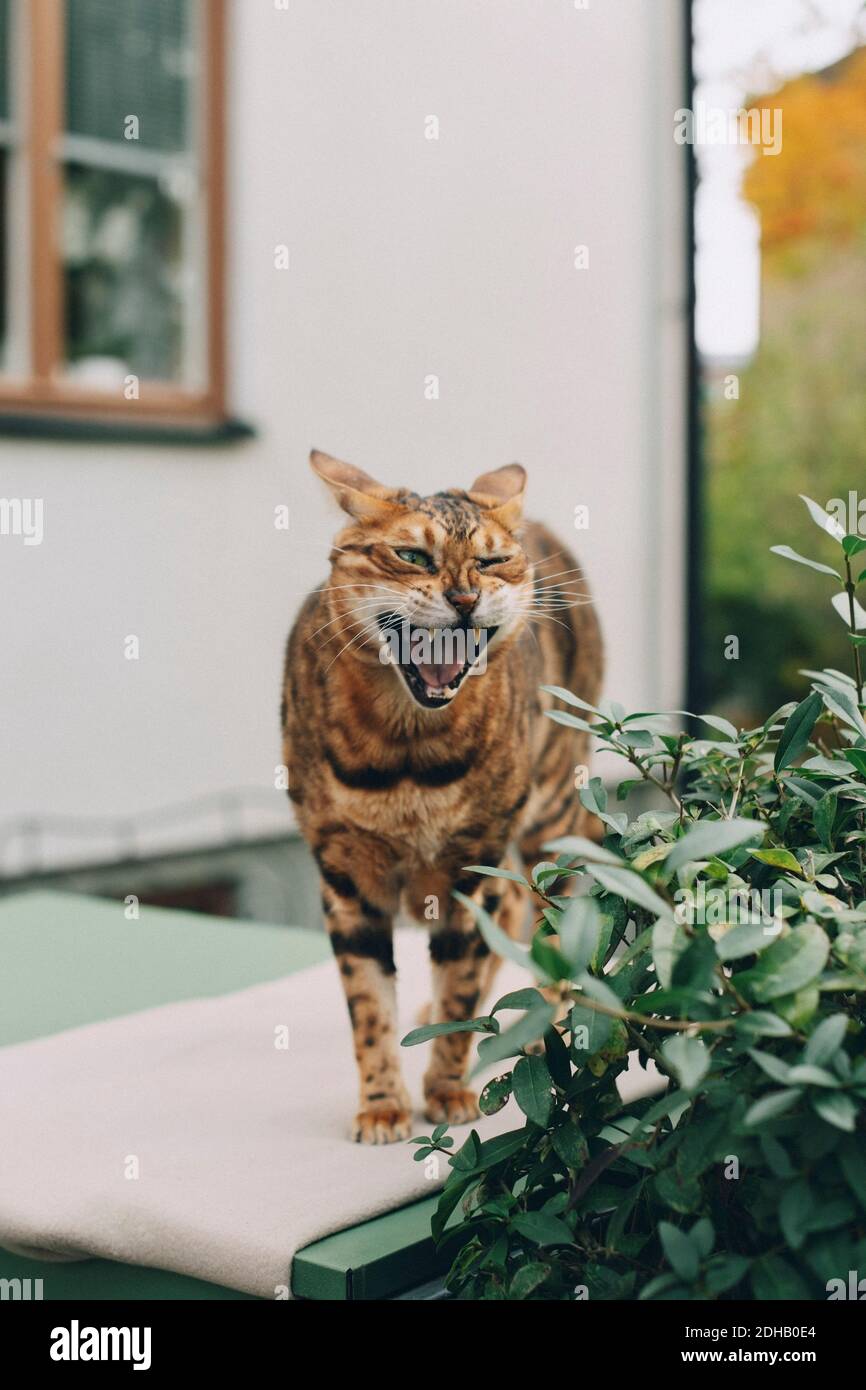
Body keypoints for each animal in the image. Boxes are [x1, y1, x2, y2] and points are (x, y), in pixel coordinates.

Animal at [284, 453, 603, 1139]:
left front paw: (449, 1088)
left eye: (491, 561)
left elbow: (461, 979)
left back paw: (543, 1025)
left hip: (551, 816)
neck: (407, 759)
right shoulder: (345, 878)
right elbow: (368, 1003)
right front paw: (381, 1103)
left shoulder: (469, 870)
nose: (465, 598)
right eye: (411, 555)